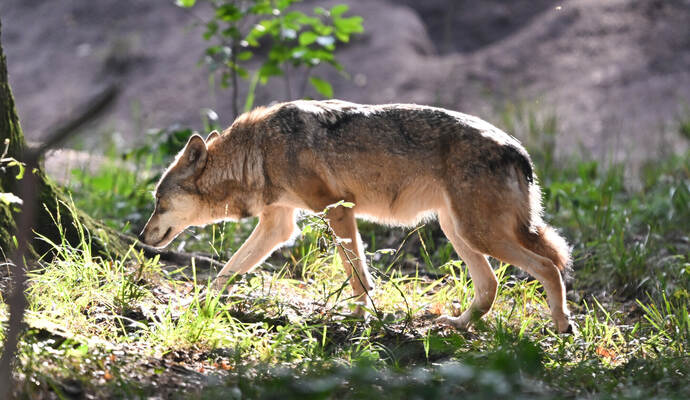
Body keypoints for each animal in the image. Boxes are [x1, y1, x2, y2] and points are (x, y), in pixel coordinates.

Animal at [139, 100, 574, 333]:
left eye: (158, 202)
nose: (142, 238)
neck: (258, 150)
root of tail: (519, 150)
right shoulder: (279, 225)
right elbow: (228, 270)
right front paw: (198, 305)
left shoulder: (336, 210)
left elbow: (357, 274)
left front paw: (358, 318)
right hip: (459, 232)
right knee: (490, 286)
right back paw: (456, 325)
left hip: (478, 233)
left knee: (549, 267)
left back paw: (561, 325)